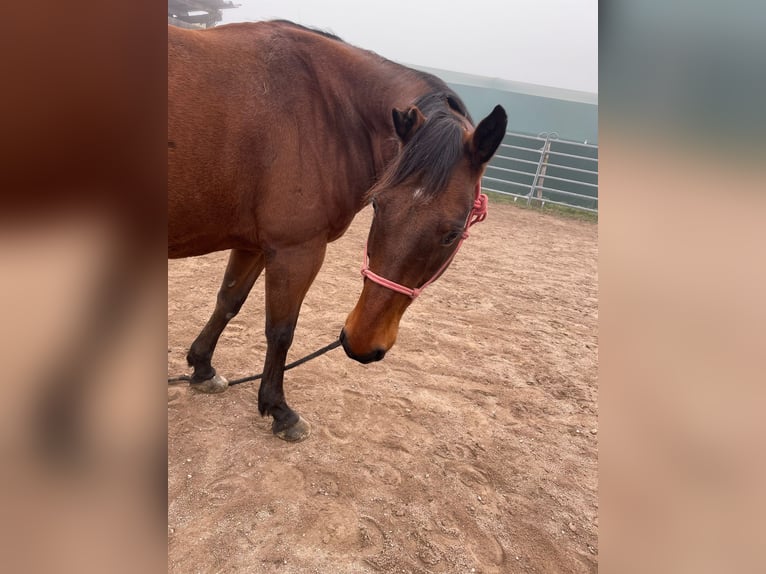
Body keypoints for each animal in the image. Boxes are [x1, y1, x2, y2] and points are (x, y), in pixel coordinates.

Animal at [170, 20, 510, 444]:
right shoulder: (296, 250)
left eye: (452, 232)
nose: (361, 343)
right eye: (378, 204)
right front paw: (280, 410)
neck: (328, 111)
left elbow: (228, 302)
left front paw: (202, 368)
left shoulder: (255, 245)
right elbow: (281, 329)